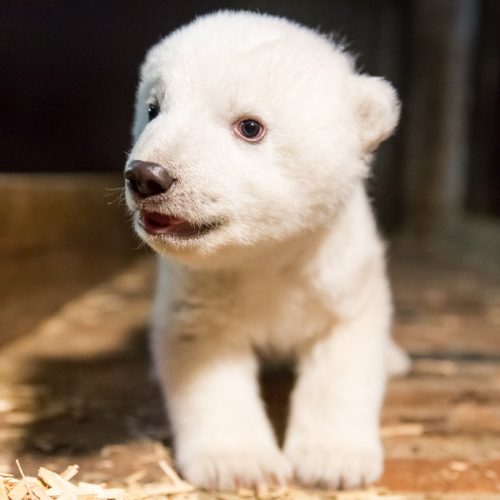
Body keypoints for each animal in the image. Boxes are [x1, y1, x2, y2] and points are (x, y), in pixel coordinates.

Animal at [124, 10, 409, 491]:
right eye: (153, 108)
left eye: (249, 126)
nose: (147, 175)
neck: (267, 256)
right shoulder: (201, 287)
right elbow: (205, 356)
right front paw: (239, 465)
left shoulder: (339, 273)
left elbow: (342, 356)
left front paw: (333, 463)